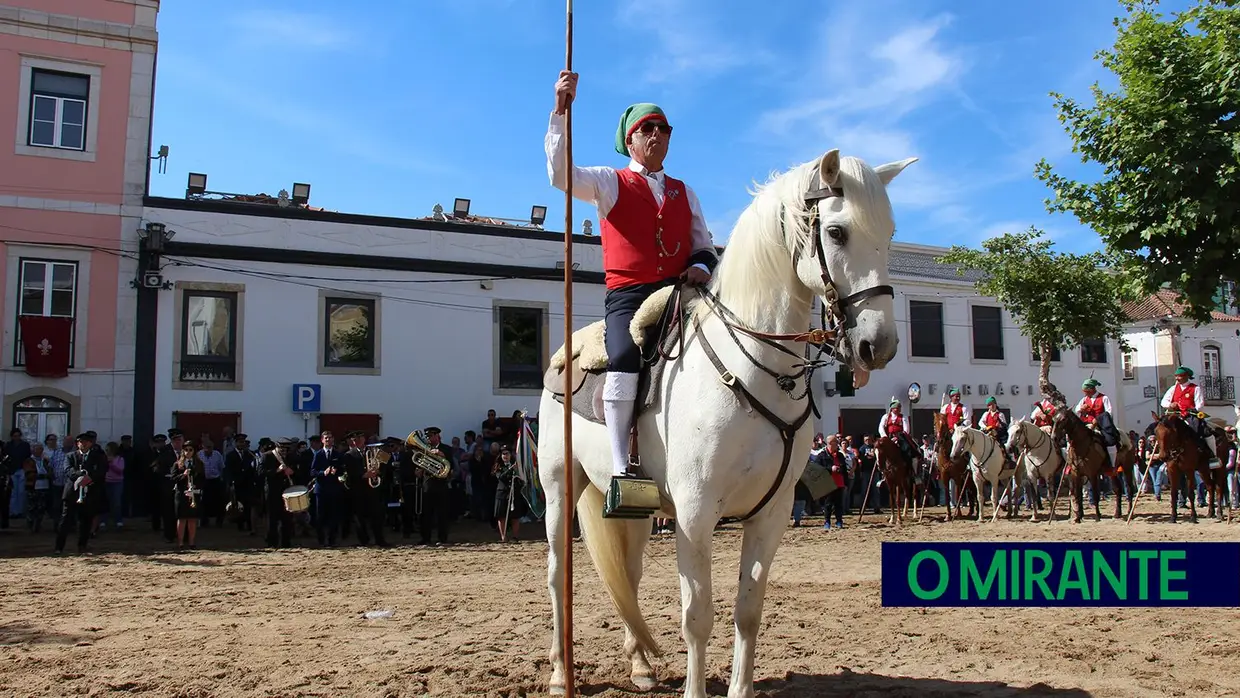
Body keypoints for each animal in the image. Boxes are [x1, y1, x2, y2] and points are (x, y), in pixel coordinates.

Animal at [538, 148, 917, 698]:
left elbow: (748, 609)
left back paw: (640, 665)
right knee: (557, 574)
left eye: (888, 233)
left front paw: (740, 686)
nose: (878, 345)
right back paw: (560, 671)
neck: (755, 369)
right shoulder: (695, 516)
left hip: (632, 509)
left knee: (628, 574)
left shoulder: (770, 515)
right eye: (837, 231)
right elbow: (698, 615)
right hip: (559, 488)